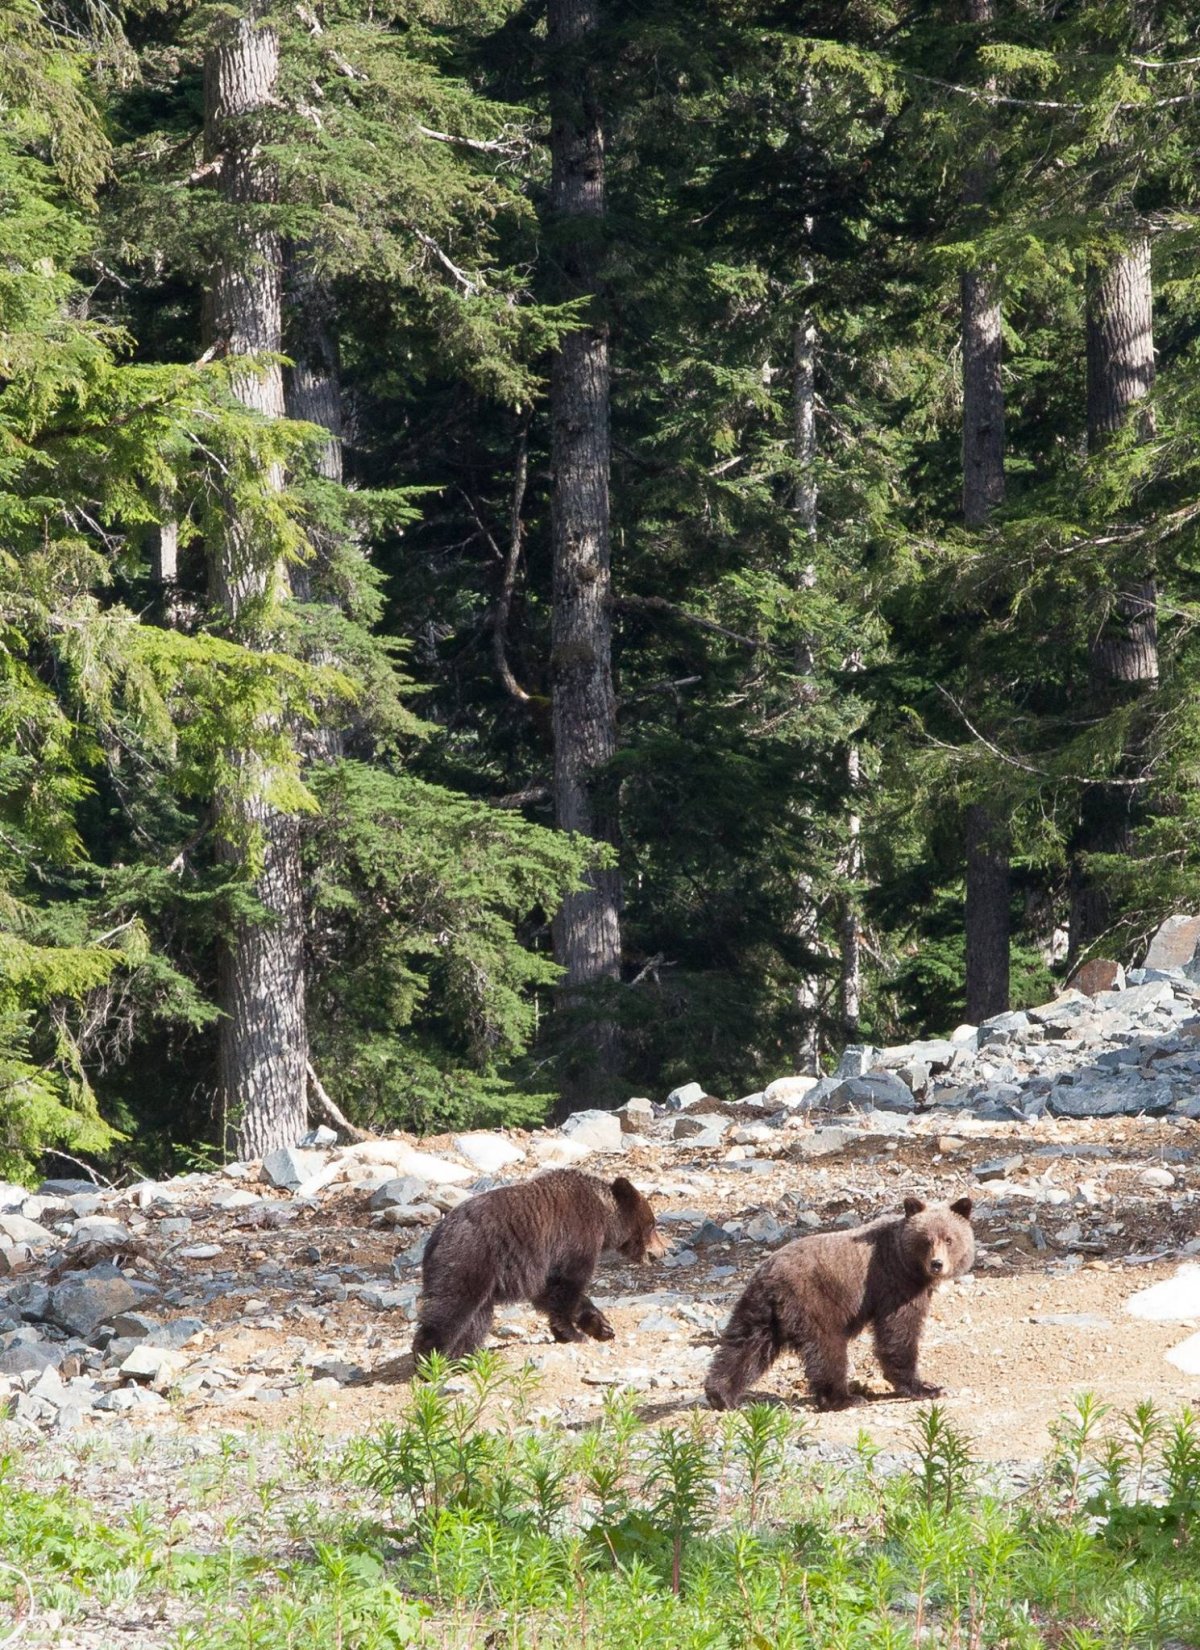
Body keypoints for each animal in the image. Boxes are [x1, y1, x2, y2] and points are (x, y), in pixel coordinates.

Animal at [412, 1168, 666, 1359]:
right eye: (652, 1224)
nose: (662, 1251)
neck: (604, 1218)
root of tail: (436, 1236)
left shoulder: (538, 1264)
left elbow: (547, 1290)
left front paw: (601, 1326)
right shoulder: (575, 1237)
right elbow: (567, 1284)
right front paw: (573, 1333)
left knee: (477, 1317)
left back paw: (464, 1356)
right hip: (470, 1258)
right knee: (453, 1305)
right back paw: (430, 1358)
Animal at [703, 1194, 977, 1412]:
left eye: (949, 1239)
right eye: (926, 1240)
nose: (937, 1264)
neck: (909, 1266)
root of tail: (769, 1277)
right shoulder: (894, 1285)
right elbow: (898, 1333)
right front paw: (925, 1387)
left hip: (759, 1310)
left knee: (743, 1346)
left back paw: (720, 1394)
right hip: (814, 1303)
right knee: (827, 1348)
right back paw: (844, 1398)